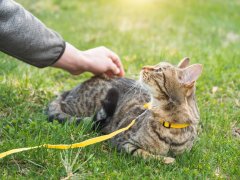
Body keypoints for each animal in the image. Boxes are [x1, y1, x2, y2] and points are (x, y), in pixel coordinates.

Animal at [48, 57, 202, 161]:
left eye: (158, 70)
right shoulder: (123, 141)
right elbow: (145, 154)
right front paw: (166, 160)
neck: (170, 125)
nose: (143, 67)